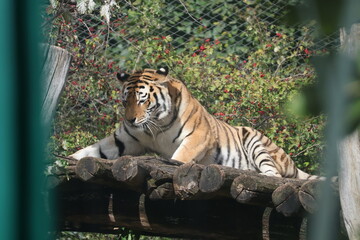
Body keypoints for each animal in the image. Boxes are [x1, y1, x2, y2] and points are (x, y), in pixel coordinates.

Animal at [69, 66, 320, 179]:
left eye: (142, 99)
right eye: (125, 101)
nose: (130, 119)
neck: (153, 127)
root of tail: (293, 164)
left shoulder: (198, 137)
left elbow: (180, 158)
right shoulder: (124, 139)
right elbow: (91, 151)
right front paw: (67, 160)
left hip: (255, 140)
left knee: (275, 174)